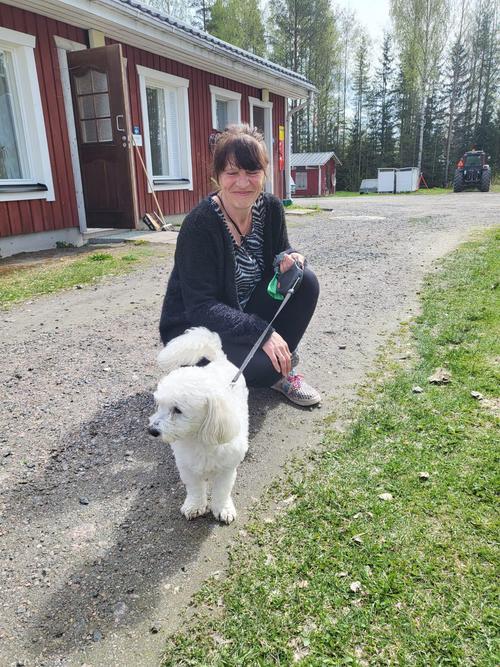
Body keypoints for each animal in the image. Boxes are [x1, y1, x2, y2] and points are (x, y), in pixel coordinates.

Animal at [148, 327, 249, 524]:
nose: (152, 430)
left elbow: (222, 491)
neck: (198, 439)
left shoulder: (226, 469)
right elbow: (194, 488)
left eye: (177, 410)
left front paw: (223, 508)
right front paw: (194, 506)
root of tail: (220, 359)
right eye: (158, 405)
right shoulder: (188, 467)